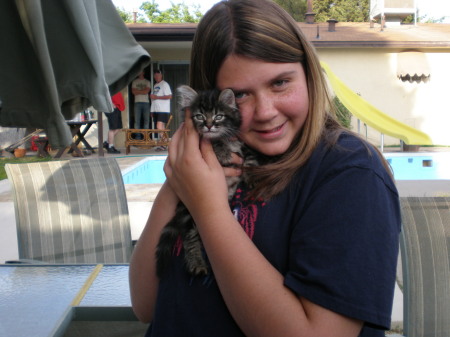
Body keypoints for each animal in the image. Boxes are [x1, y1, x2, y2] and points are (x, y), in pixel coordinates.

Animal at [155, 84, 246, 276]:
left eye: (218, 116)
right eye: (200, 116)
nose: (209, 125)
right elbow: (213, 141)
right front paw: (222, 151)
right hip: (188, 213)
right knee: (189, 238)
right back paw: (197, 263)